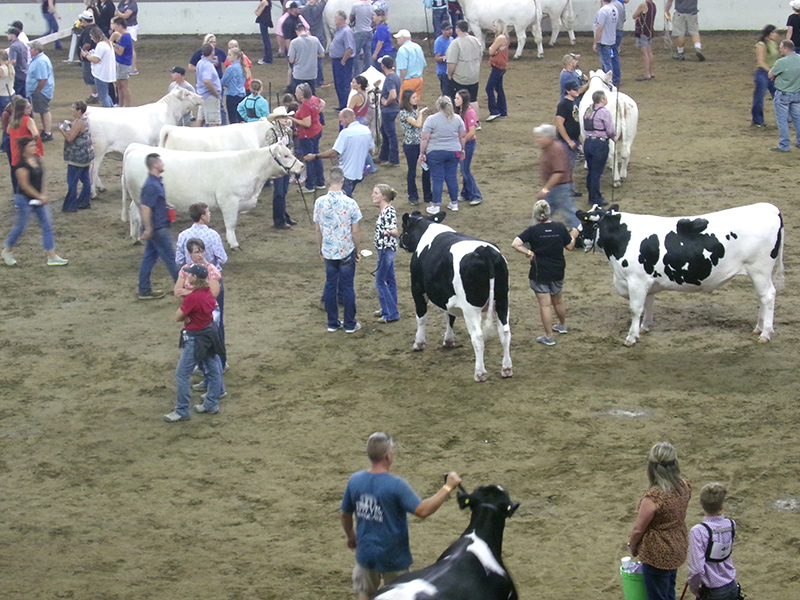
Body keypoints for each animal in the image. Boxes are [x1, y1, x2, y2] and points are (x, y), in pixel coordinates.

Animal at [120, 142, 304, 247]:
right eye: (286, 155)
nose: (302, 166)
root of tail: (136, 148)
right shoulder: (229, 200)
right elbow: (231, 224)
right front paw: (233, 243)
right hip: (139, 198)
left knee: (133, 212)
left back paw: (135, 238)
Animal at [400, 213, 512, 382]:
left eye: (404, 227)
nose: (400, 240)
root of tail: (483, 250)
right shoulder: (446, 296)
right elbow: (449, 317)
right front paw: (448, 340)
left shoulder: (418, 289)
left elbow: (422, 317)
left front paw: (419, 343)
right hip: (502, 300)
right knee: (505, 333)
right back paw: (506, 369)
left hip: (471, 308)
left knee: (478, 337)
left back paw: (480, 373)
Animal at [576, 204, 788, 346]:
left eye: (583, 223)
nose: (573, 238)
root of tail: (768, 208)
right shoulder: (646, 281)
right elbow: (649, 303)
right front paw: (645, 327)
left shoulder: (636, 280)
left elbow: (635, 309)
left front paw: (631, 337)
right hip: (758, 272)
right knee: (762, 297)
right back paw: (759, 327)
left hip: (759, 269)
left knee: (768, 296)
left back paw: (765, 333)